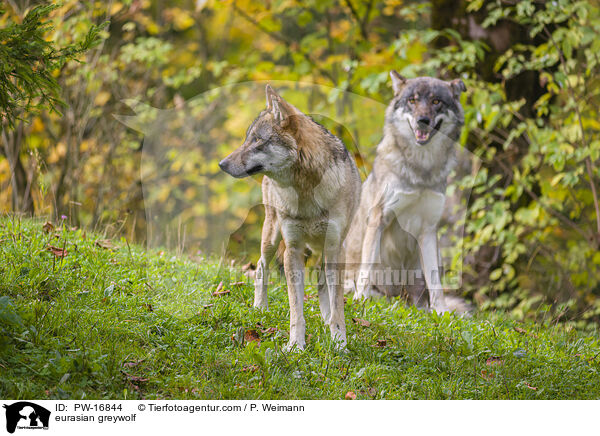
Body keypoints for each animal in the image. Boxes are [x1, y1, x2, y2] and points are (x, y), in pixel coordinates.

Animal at [220, 84, 360, 350]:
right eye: (247, 138)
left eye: (257, 139)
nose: (221, 164)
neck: (305, 191)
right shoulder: (293, 249)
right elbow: (297, 308)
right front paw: (296, 345)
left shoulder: (334, 248)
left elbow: (337, 303)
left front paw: (339, 342)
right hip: (272, 235)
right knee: (261, 267)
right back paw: (259, 308)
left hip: (325, 250)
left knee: (322, 282)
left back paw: (326, 319)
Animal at [344, 70, 466, 314]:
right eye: (412, 100)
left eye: (436, 101)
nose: (423, 120)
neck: (421, 170)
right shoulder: (378, 218)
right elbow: (366, 271)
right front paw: (360, 300)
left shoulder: (428, 229)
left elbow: (436, 284)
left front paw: (441, 313)